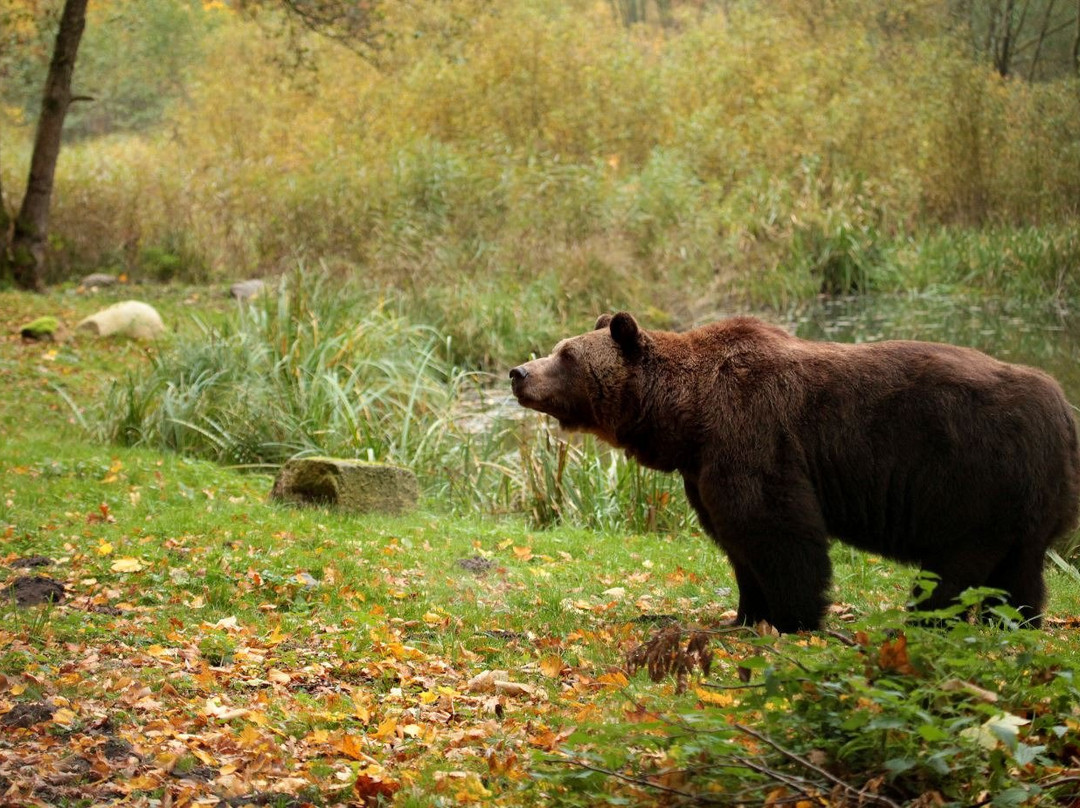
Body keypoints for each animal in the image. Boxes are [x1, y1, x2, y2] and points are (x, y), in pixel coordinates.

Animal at [507, 308, 1080, 630]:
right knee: (1021, 568)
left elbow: (778, 530)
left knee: (956, 565)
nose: (518, 372)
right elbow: (736, 541)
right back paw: (1018, 621)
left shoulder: (754, 436)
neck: (689, 416)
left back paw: (925, 618)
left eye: (566, 356)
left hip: (970, 476)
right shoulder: (705, 468)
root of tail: (1062, 408)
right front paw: (744, 613)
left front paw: (794, 617)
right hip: (1024, 497)